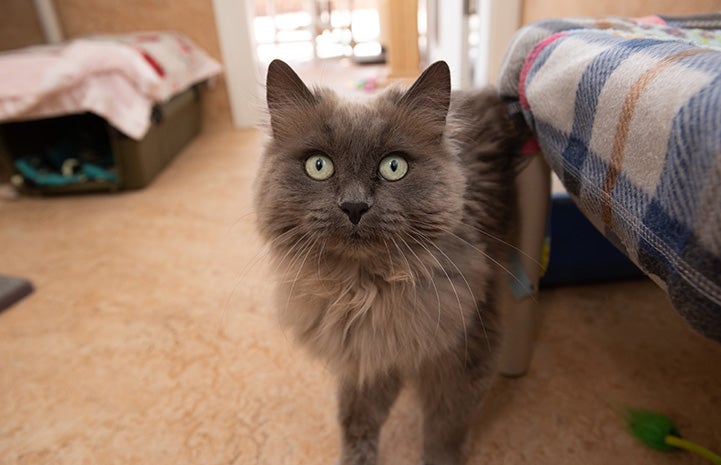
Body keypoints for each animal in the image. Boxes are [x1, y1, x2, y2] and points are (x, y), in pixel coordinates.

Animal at [253, 59, 524, 464]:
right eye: (319, 166)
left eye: (393, 167)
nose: (354, 206)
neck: (364, 290)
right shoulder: (368, 359)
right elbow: (358, 421)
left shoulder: (466, 355)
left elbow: (445, 431)